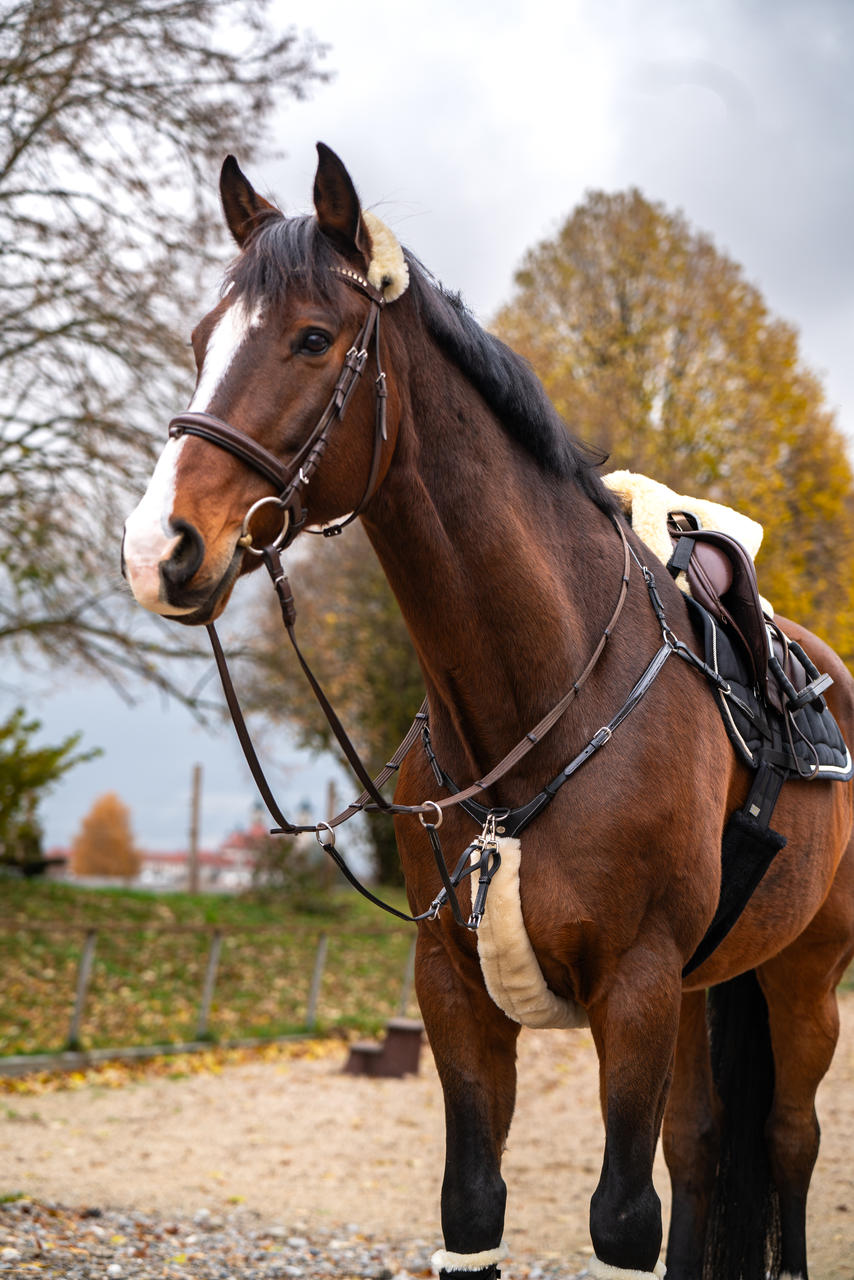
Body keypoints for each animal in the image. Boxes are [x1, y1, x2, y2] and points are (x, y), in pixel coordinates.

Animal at [121, 145, 854, 1280]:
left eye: (312, 337)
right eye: (202, 343)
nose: (160, 545)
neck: (546, 694)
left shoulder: (636, 987)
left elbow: (621, 1219)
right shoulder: (455, 993)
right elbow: (472, 1206)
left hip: (804, 973)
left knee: (786, 1141)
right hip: (707, 987)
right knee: (700, 1147)